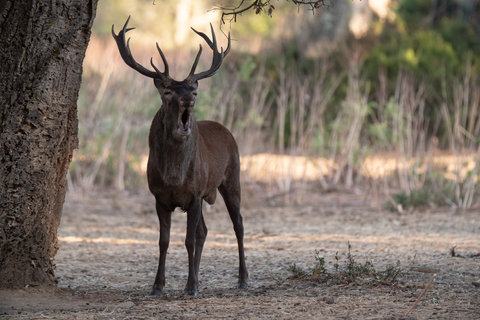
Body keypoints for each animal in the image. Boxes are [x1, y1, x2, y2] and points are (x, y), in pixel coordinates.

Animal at [111, 17, 248, 296]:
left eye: (194, 91)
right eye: (167, 91)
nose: (188, 100)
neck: (174, 176)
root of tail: (227, 130)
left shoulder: (194, 194)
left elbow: (188, 240)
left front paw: (191, 286)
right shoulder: (159, 197)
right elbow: (164, 241)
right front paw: (158, 285)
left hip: (232, 177)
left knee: (238, 224)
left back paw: (242, 279)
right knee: (205, 231)